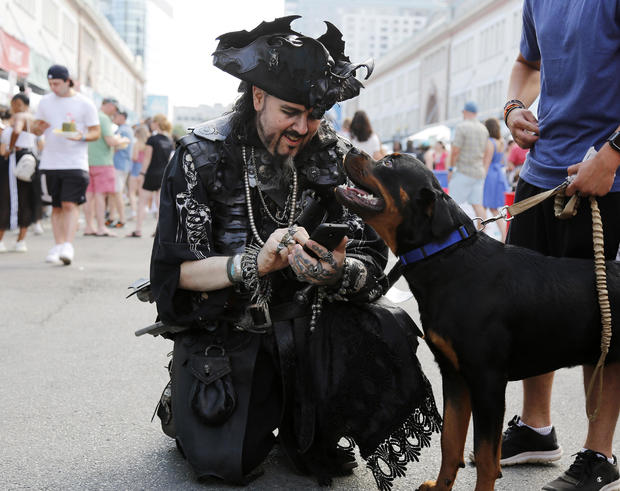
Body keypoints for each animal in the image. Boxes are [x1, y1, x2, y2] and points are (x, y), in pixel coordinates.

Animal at [336, 150, 616, 491]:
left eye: (389, 162)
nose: (348, 149)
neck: (447, 259)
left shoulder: (487, 380)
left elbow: (484, 457)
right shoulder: (454, 374)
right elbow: (450, 441)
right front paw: (440, 486)